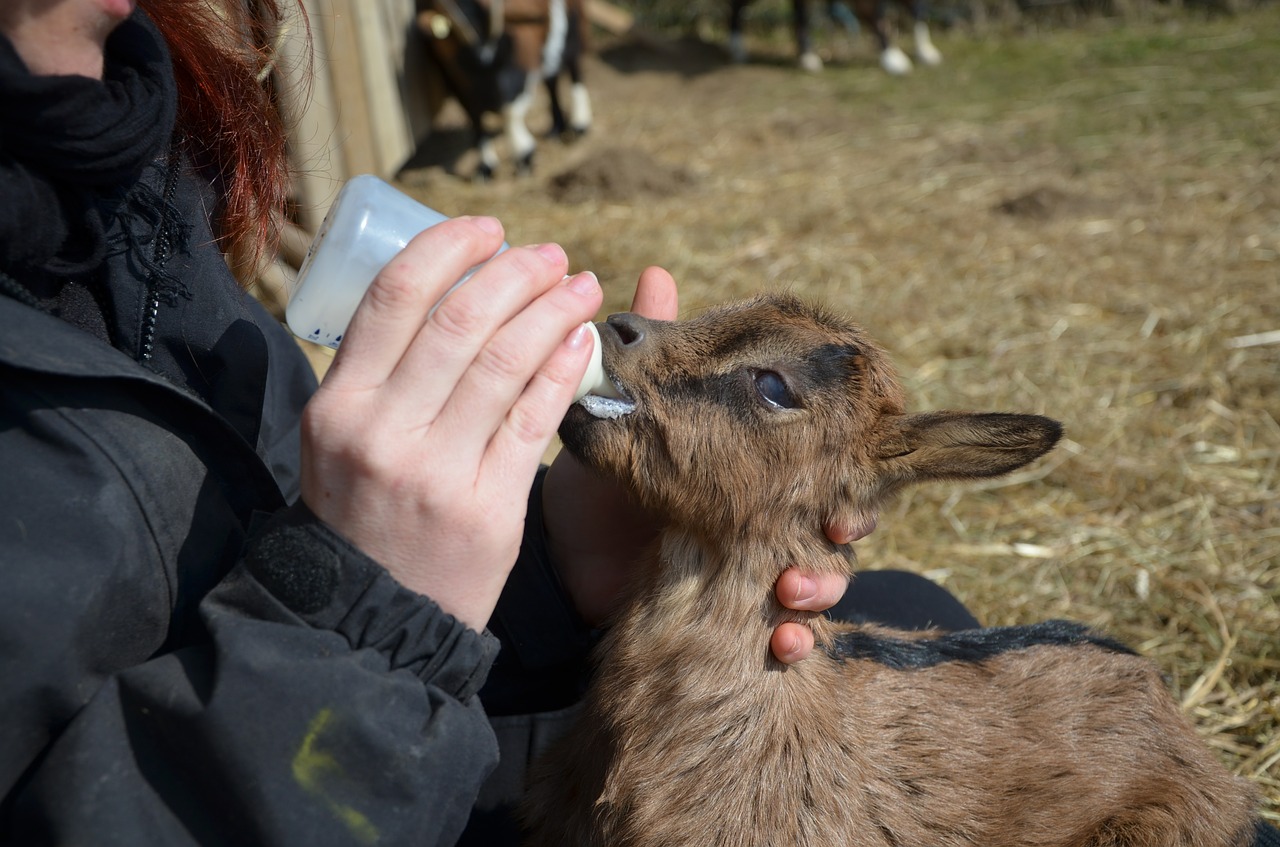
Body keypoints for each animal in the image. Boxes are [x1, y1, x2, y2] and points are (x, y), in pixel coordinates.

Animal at [414, 0, 588, 177]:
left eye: (506, 51)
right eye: (464, 63)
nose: (490, 104)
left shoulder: (519, 51)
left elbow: (509, 107)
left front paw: (524, 154)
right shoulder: (448, 71)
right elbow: (473, 114)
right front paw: (486, 166)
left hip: (571, 21)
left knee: (572, 61)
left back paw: (579, 123)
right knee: (551, 76)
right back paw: (556, 127)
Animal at [732, 0, 942, 74]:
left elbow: (917, 11)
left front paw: (925, 50)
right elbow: (874, 15)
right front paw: (892, 57)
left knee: (800, 13)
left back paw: (807, 56)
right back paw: (737, 48)